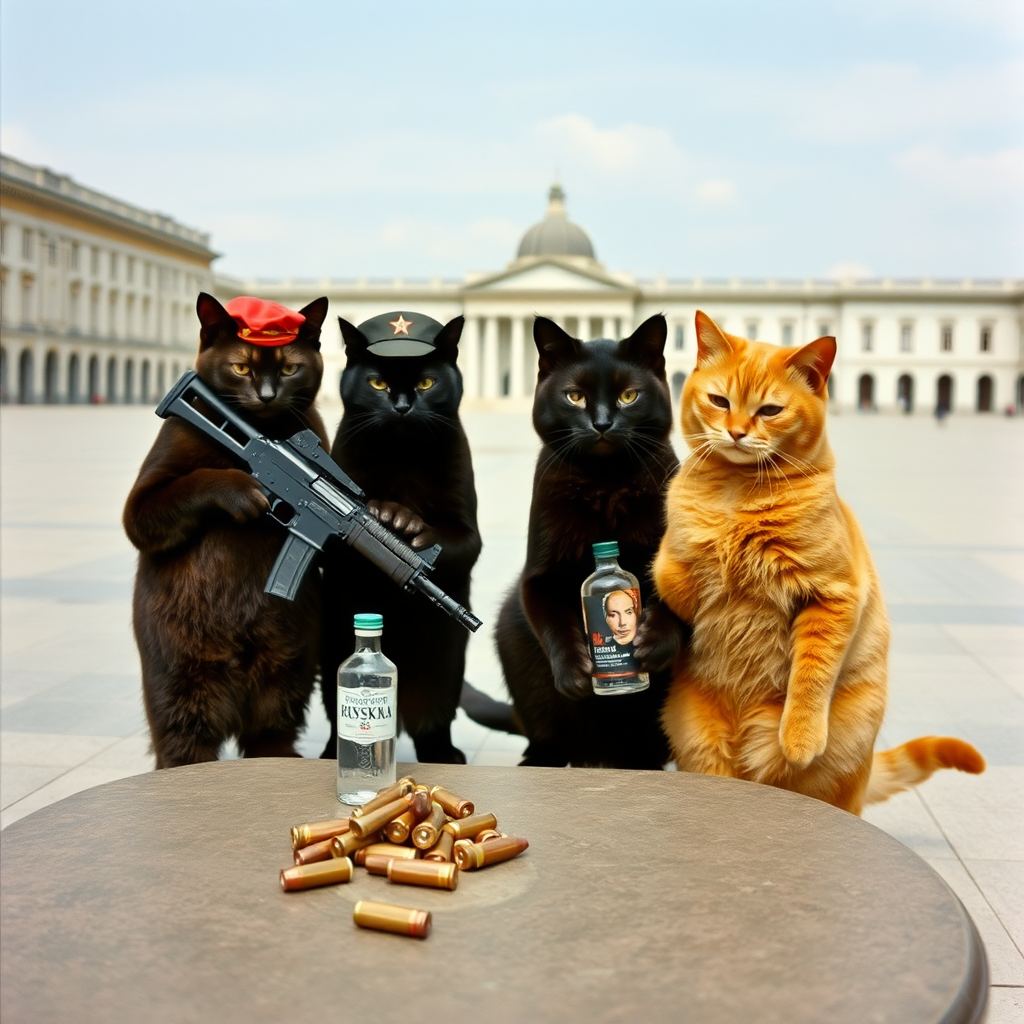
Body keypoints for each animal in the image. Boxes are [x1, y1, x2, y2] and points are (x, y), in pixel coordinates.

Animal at [122, 292, 331, 765]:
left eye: (290, 369)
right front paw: (242, 491)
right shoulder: (147, 497)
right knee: (183, 744)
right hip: (179, 675)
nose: (268, 395)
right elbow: (173, 498)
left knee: (273, 731)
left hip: (287, 668)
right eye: (241, 367)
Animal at [319, 315, 479, 765]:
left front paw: (401, 521)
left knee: (433, 717)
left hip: (444, 662)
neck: (403, 454)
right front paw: (386, 514)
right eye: (376, 383)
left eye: (426, 382)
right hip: (330, 641)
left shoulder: (466, 530)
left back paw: (443, 753)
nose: (403, 406)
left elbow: (458, 542)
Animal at [495, 311, 688, 770]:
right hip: (510, 634)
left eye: (630, 395)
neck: (606, 483)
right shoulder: (537, 579)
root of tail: (598, 756)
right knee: (545, 735)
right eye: (575, 397)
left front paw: (653, 642)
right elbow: (554, 623)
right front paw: (577, 671)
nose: (601, 423)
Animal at [651, 307, 978, 811]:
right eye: (719, 401)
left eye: (769, 410)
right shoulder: (682, 576)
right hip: (703, 749)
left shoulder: (832, 597)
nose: (736, 433)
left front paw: (800, 739)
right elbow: (671, 570)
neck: (737, 493)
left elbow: (810, 676)